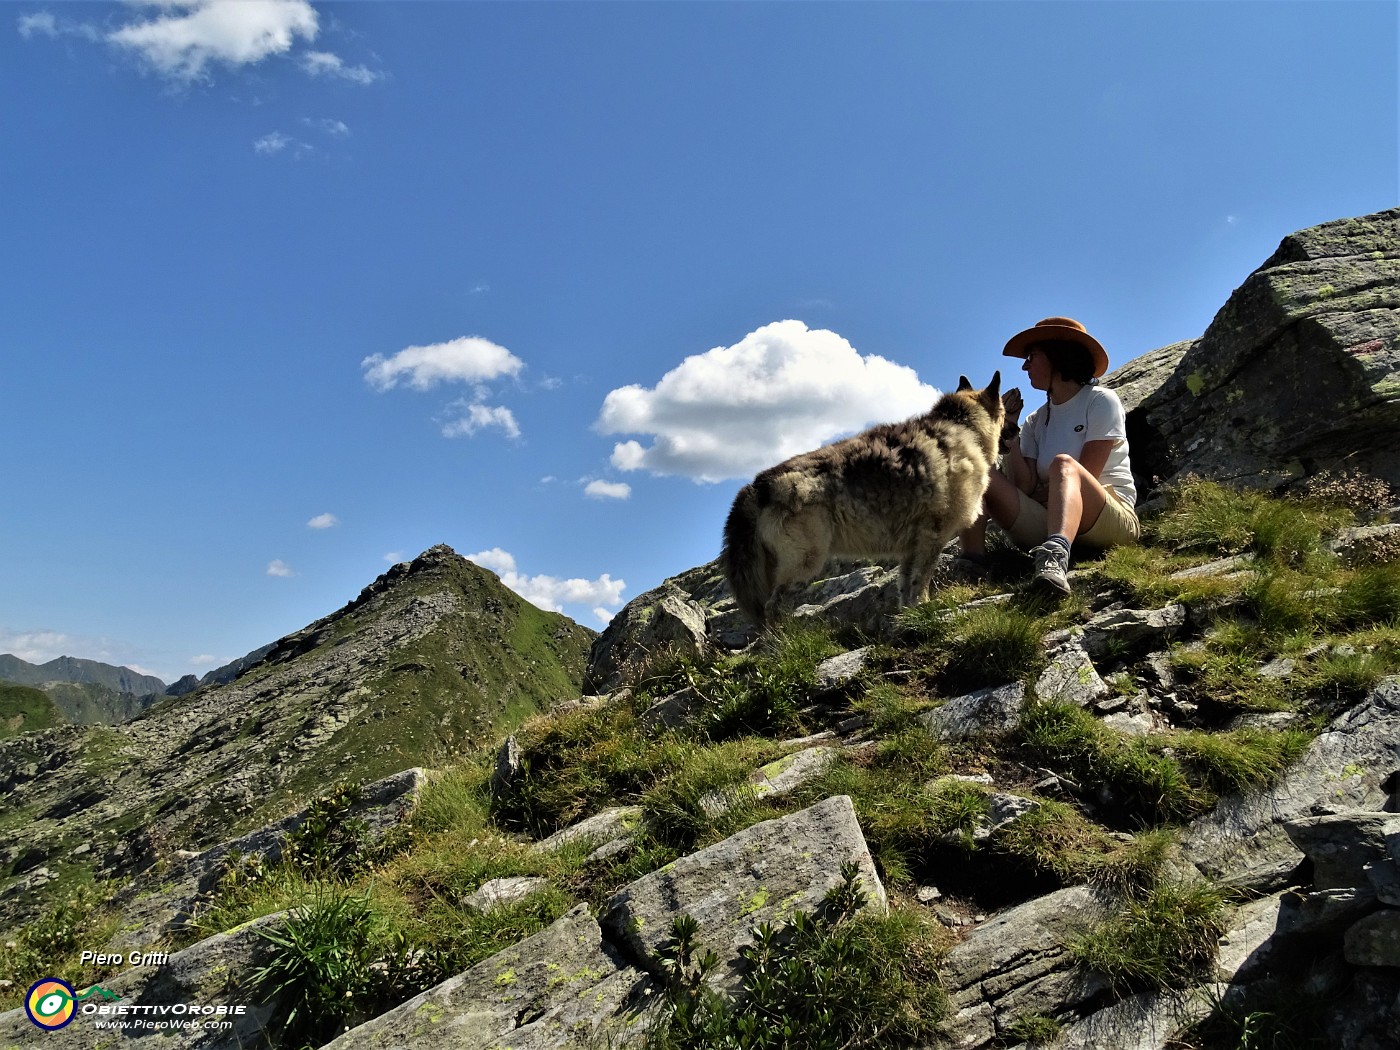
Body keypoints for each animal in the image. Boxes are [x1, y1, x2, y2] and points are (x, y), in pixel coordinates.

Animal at [722, 375, 1008, 630]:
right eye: (1005, 414)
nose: (1015, 430)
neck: (963, 427)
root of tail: (756, 486)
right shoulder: (932, 538)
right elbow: (921, 581)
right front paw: (924, 608)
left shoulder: (910, 548)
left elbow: (904, 587)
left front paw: (908, 616)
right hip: (806, 563)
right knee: (773, 607)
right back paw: (783, 643)